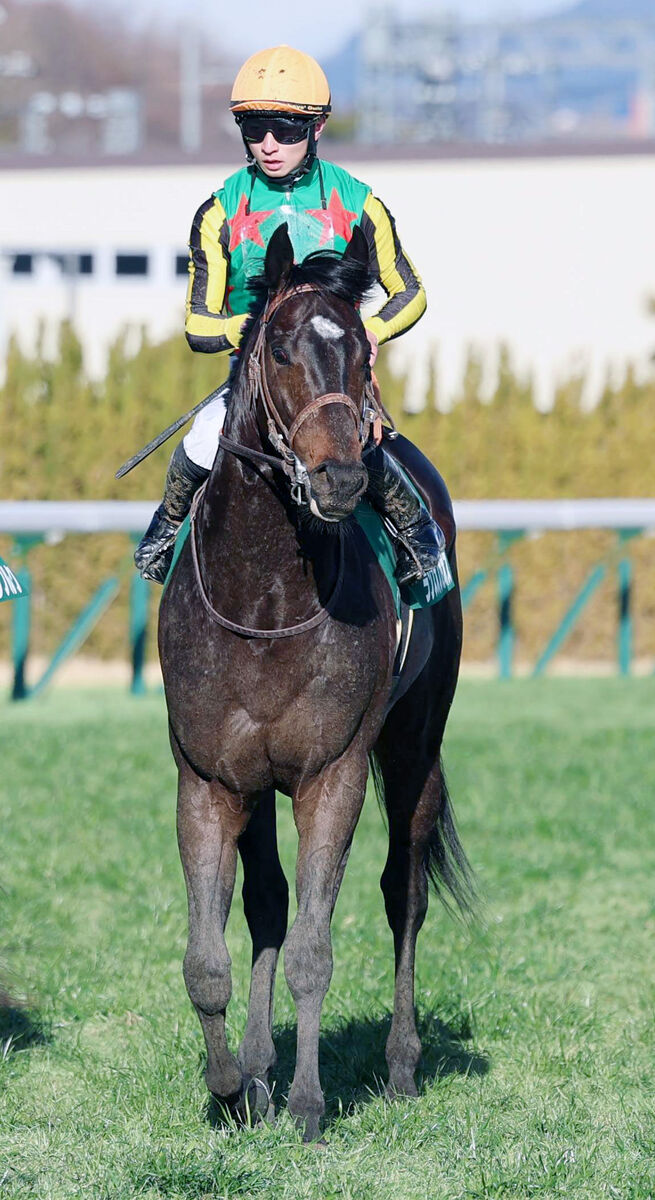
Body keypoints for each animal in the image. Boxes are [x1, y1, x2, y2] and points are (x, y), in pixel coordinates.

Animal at [159, 223, 475, 1132]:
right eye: (278, 348)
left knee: (403, 894)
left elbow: (312, 947)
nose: (340, 476)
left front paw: (305, 1104)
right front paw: (234, 1087)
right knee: (266, 904)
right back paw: (259, 1076)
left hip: (412, 744)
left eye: (362, 353)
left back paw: (399, 1067)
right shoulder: (211, 778)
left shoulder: (331, 774)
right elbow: (211, 955)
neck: (265, 597)